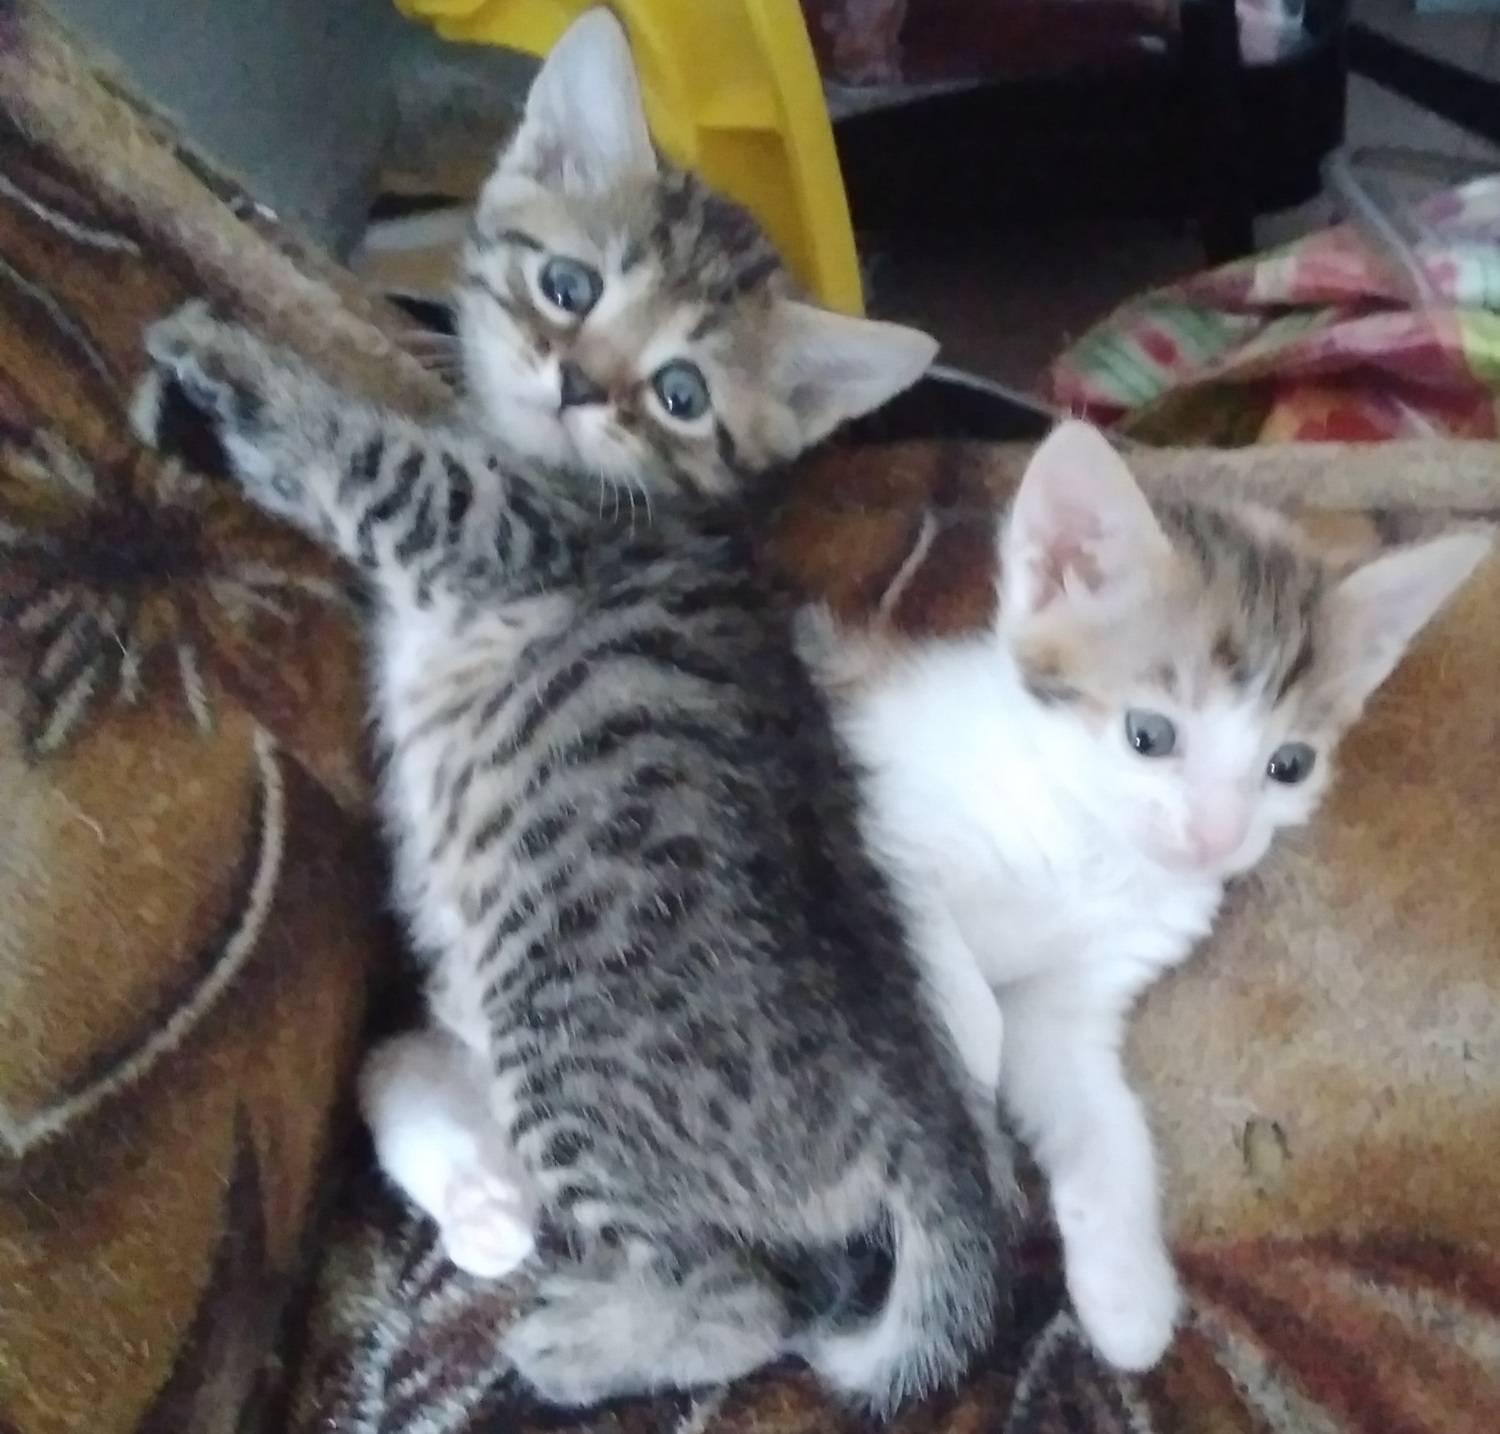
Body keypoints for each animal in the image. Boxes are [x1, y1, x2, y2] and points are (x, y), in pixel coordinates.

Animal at [135, 19, 1014, 1415]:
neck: (578, 478)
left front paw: (237, 361)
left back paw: (586, 1342)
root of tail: (910, 1087)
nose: (579, 386)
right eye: (568, 285)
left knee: (752, 1300)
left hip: (566, 1049)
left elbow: (372, 450)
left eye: (681, 392)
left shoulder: (495, 527)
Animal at [798, 419, 1491, 1372]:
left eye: (1289, 765)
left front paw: (1126, 1295)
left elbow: (1107, 1126)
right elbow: (938, 938)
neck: (1084, 847)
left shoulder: (1073, 1004)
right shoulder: (869, 787)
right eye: (1149, 736)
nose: (1216, 838)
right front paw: (966, 1037)